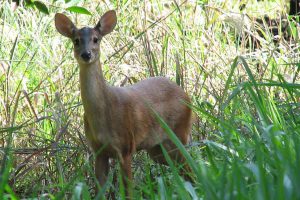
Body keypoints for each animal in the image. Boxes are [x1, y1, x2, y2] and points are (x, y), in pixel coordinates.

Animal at [54, 10, 192, 198]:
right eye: (76, 40)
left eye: (96, 39)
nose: (86, 54)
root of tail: (186, 95)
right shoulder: (98, 151)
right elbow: (99, 190)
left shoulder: (126, 147)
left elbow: (128, 192)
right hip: (157, 148)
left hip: (179, 133)